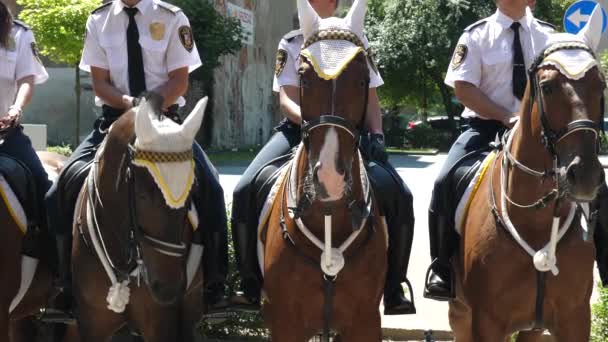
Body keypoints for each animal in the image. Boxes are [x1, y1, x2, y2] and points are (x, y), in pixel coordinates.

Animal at [262, 0, 384, 342]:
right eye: (304, 78)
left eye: (362, 79)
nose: (329, 179)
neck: (329, 215)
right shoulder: (285, 323)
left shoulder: (365, 322)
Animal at [448, 36, 604, 338]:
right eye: (547, 87)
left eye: (601, 85)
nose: (585, 174)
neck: (536, 220)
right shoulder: (486, 321)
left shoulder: (575, 318)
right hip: (460, 313)